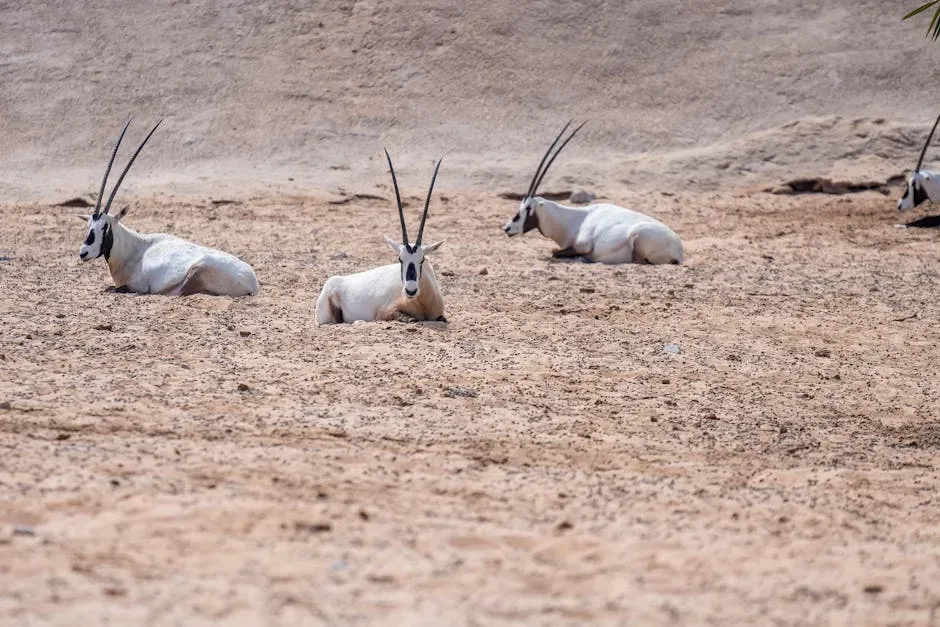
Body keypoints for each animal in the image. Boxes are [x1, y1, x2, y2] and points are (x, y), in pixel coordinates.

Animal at [77, 119, 259, 296]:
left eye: (105, 226)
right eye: (88, 225)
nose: (83, 252)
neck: (134, 249)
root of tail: (253, 283)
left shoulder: (137, 286)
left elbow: (112, 289)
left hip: (197, 269)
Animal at [316, 150, 446, 325]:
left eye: (422, 259)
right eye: (400, 259)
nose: (410, 290)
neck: (422, 302)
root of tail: (336, 280)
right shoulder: (385, 313)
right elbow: (409, 319)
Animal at [502, 121, 684, 264]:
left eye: (528, 208)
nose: (507, 228)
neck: (572, 220)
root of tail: (679, 251)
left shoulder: (584, 245)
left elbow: (555, 252)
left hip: (638, 235)